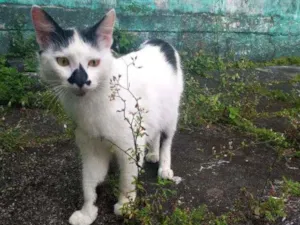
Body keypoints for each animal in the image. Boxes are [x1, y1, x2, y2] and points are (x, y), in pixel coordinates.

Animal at [31, 5, 184, 225]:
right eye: (62, 61)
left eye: (94, 62)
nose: (81, 80)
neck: (91, 104)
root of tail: (160, 40)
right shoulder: (91, 146)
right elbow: (89, 183)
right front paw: (87, 212)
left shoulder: (129, 145)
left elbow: (127, 179)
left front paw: (125, 205)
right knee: (153, 133)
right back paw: (152, 154)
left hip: (171, 113)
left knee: (166, 139)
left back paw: (163, 166)